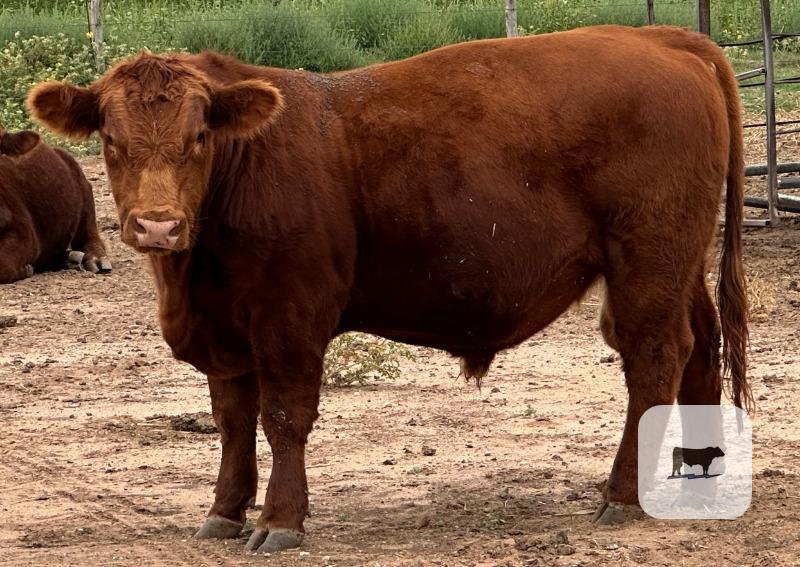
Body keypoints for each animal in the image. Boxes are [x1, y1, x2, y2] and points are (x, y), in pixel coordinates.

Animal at [0, 127, 111, 282]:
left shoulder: (25, 234)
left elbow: (4, 264)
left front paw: (27, 269)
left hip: (85, 194)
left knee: (89, 234)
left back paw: (95, 259)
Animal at [28, 24, 752, 553]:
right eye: (110, 138)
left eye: (199, 134)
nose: (158, 225)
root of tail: (662, 37)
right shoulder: (224, 330)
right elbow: (232, 421)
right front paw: (224, 510)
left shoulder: (290, 317)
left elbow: (283, 418)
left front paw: (280, 520)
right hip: (677, 262)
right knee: (701, 347)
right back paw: (697, 472)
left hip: (647, 261)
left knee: (655, 358)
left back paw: (622, 495)